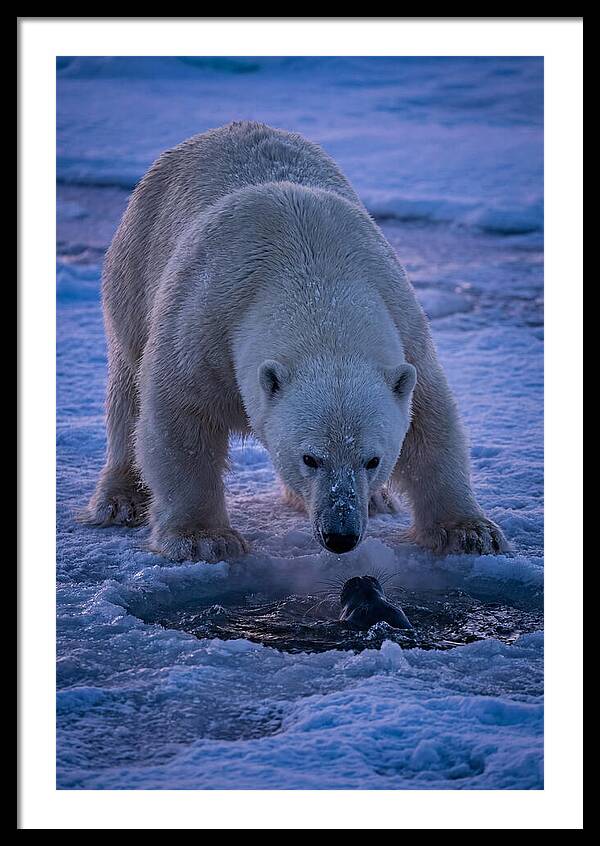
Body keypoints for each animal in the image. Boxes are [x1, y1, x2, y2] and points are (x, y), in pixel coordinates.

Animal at [84, 121, 508, 562]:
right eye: (310, 458)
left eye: (372, 459)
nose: (341, 535)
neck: (313, 273)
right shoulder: (204, 323)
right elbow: (180, 419)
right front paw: (203, 539)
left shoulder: (404, 325)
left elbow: (430, 421)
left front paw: (470, 532)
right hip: (135, 267)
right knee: (127, 388)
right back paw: (120, 499)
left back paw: (377, 500)